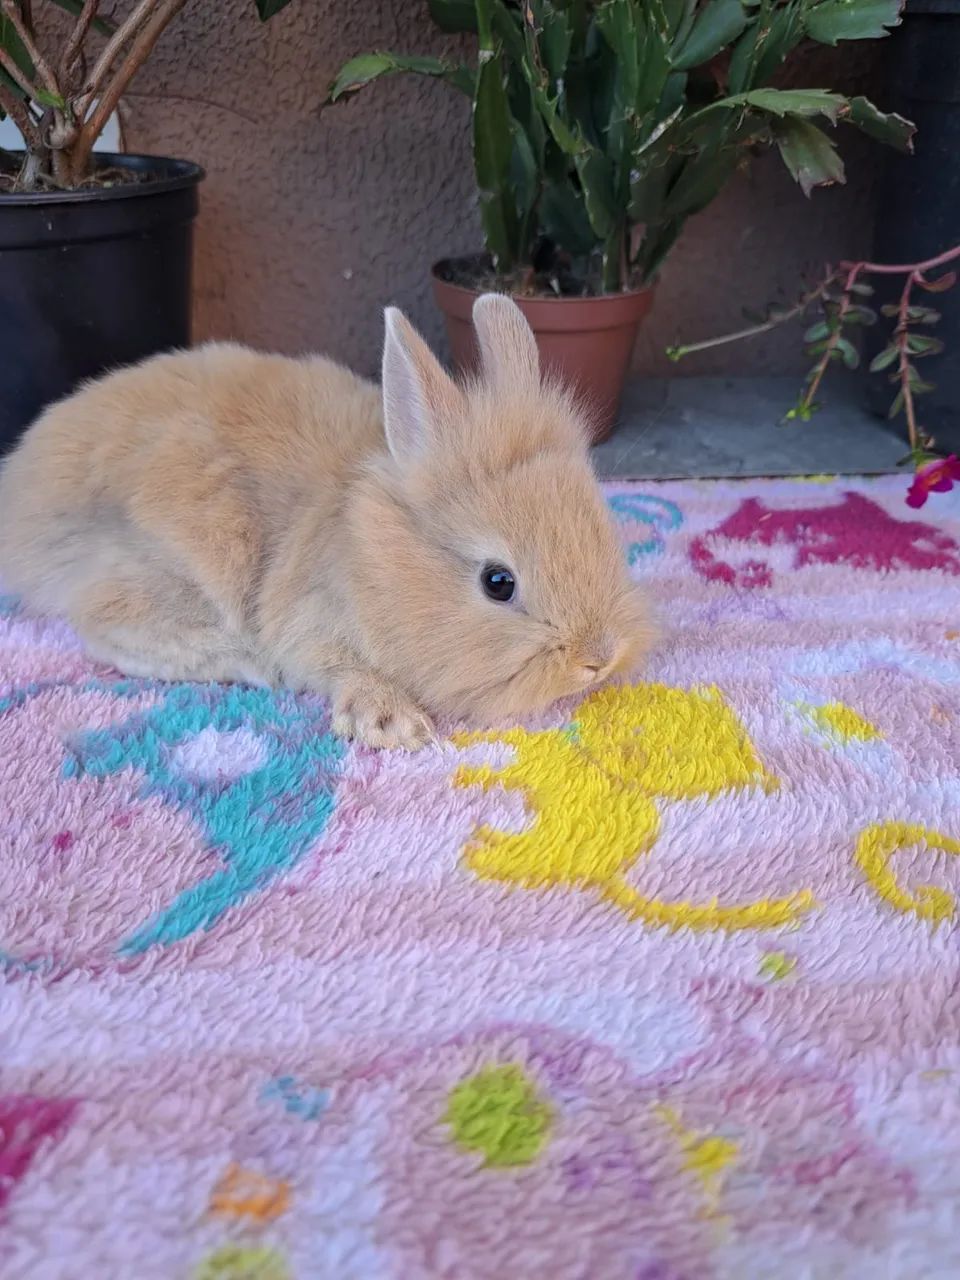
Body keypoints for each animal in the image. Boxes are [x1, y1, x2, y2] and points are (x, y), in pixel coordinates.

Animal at [0, 293, 652, 749]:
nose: (599, 659)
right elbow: (334, 668)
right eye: (498, 583)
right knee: (102, 622)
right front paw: (394, 723)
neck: (369, 550)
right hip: (182, 557)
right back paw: (246, 662)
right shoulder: (308, 620)